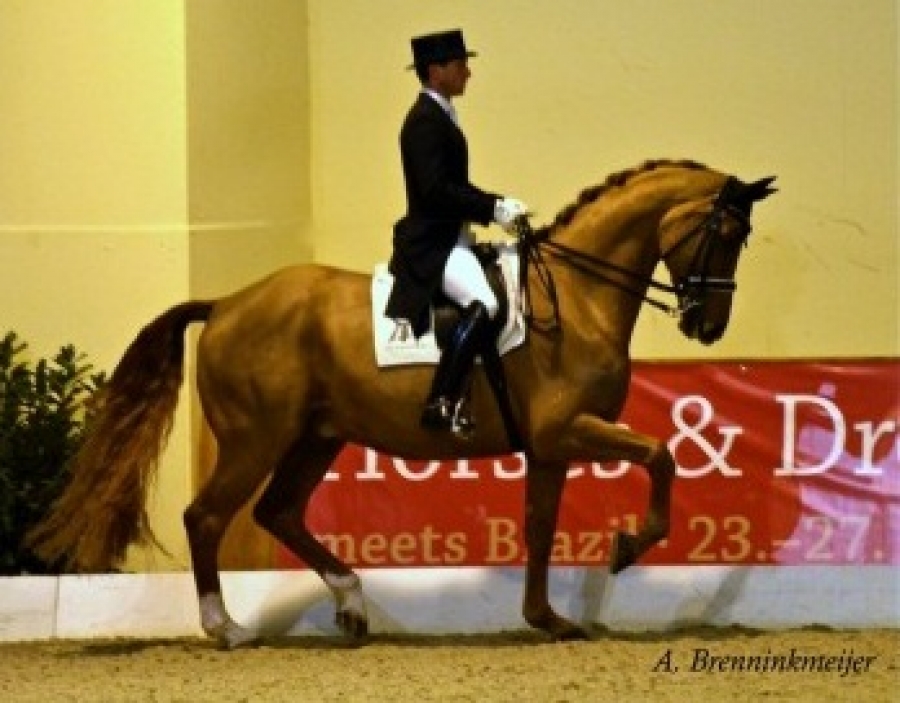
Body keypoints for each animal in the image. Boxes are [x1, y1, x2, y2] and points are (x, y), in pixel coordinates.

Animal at [28, 158, 772, 648]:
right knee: (207, 516)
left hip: (316, 436)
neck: (578, 293)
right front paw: (626, 547)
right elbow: (663, 454)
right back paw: (228, 627)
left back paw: (353, 606)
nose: (708, 327)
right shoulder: (570, 429)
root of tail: (228, 302)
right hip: (255, 439)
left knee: (278, 511)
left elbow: (539, 527)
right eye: (726, 234)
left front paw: (548, 619)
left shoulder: (550, 445)